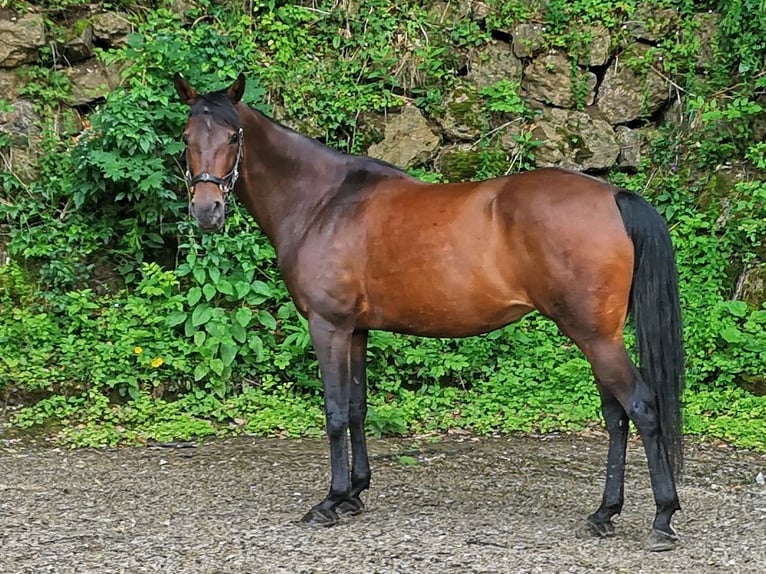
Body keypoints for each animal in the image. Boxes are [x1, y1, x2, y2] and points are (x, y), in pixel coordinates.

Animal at [176, 73, 688, 552]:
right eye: (186, 136)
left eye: (234, 137)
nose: (207, 210)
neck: (323, 202)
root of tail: (612, 196)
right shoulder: (356, 331)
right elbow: (358, 408)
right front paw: (355, 494)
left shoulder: (329, 326)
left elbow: (336, 411)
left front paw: (330, 501)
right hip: (596, 335)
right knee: (616, 416)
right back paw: (604, 513)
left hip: (595, 336)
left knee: (641, 407)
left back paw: (662, 518)